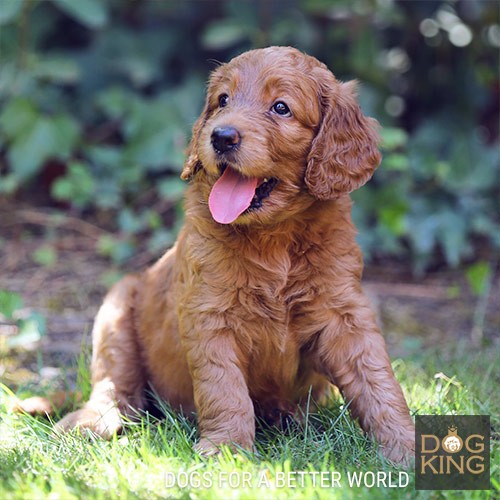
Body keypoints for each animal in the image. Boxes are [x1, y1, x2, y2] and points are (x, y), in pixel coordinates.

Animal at [46, 47, 418, 460]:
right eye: (222, 100)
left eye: (281, 108)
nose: (221, 136)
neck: (275, 238)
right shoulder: (209, 314)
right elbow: (223, 387)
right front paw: (227, 451)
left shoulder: (344, 314)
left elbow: (377, 379)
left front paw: (405, 446)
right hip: (116, 312)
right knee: (116, 387)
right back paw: (89, 421)